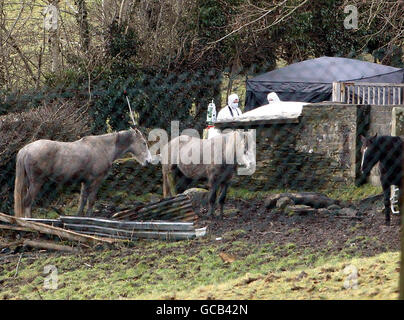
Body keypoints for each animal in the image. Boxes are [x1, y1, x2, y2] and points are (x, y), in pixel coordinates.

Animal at [13, 128, 152, 218]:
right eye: (144, 143)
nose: (148, 161)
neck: (103, 147)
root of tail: (26, 149)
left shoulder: (85, 181)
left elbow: (83, 200)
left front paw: (80, 216)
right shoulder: (96, 180)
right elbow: (91, 200)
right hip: (36, 182)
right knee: (27, 201)